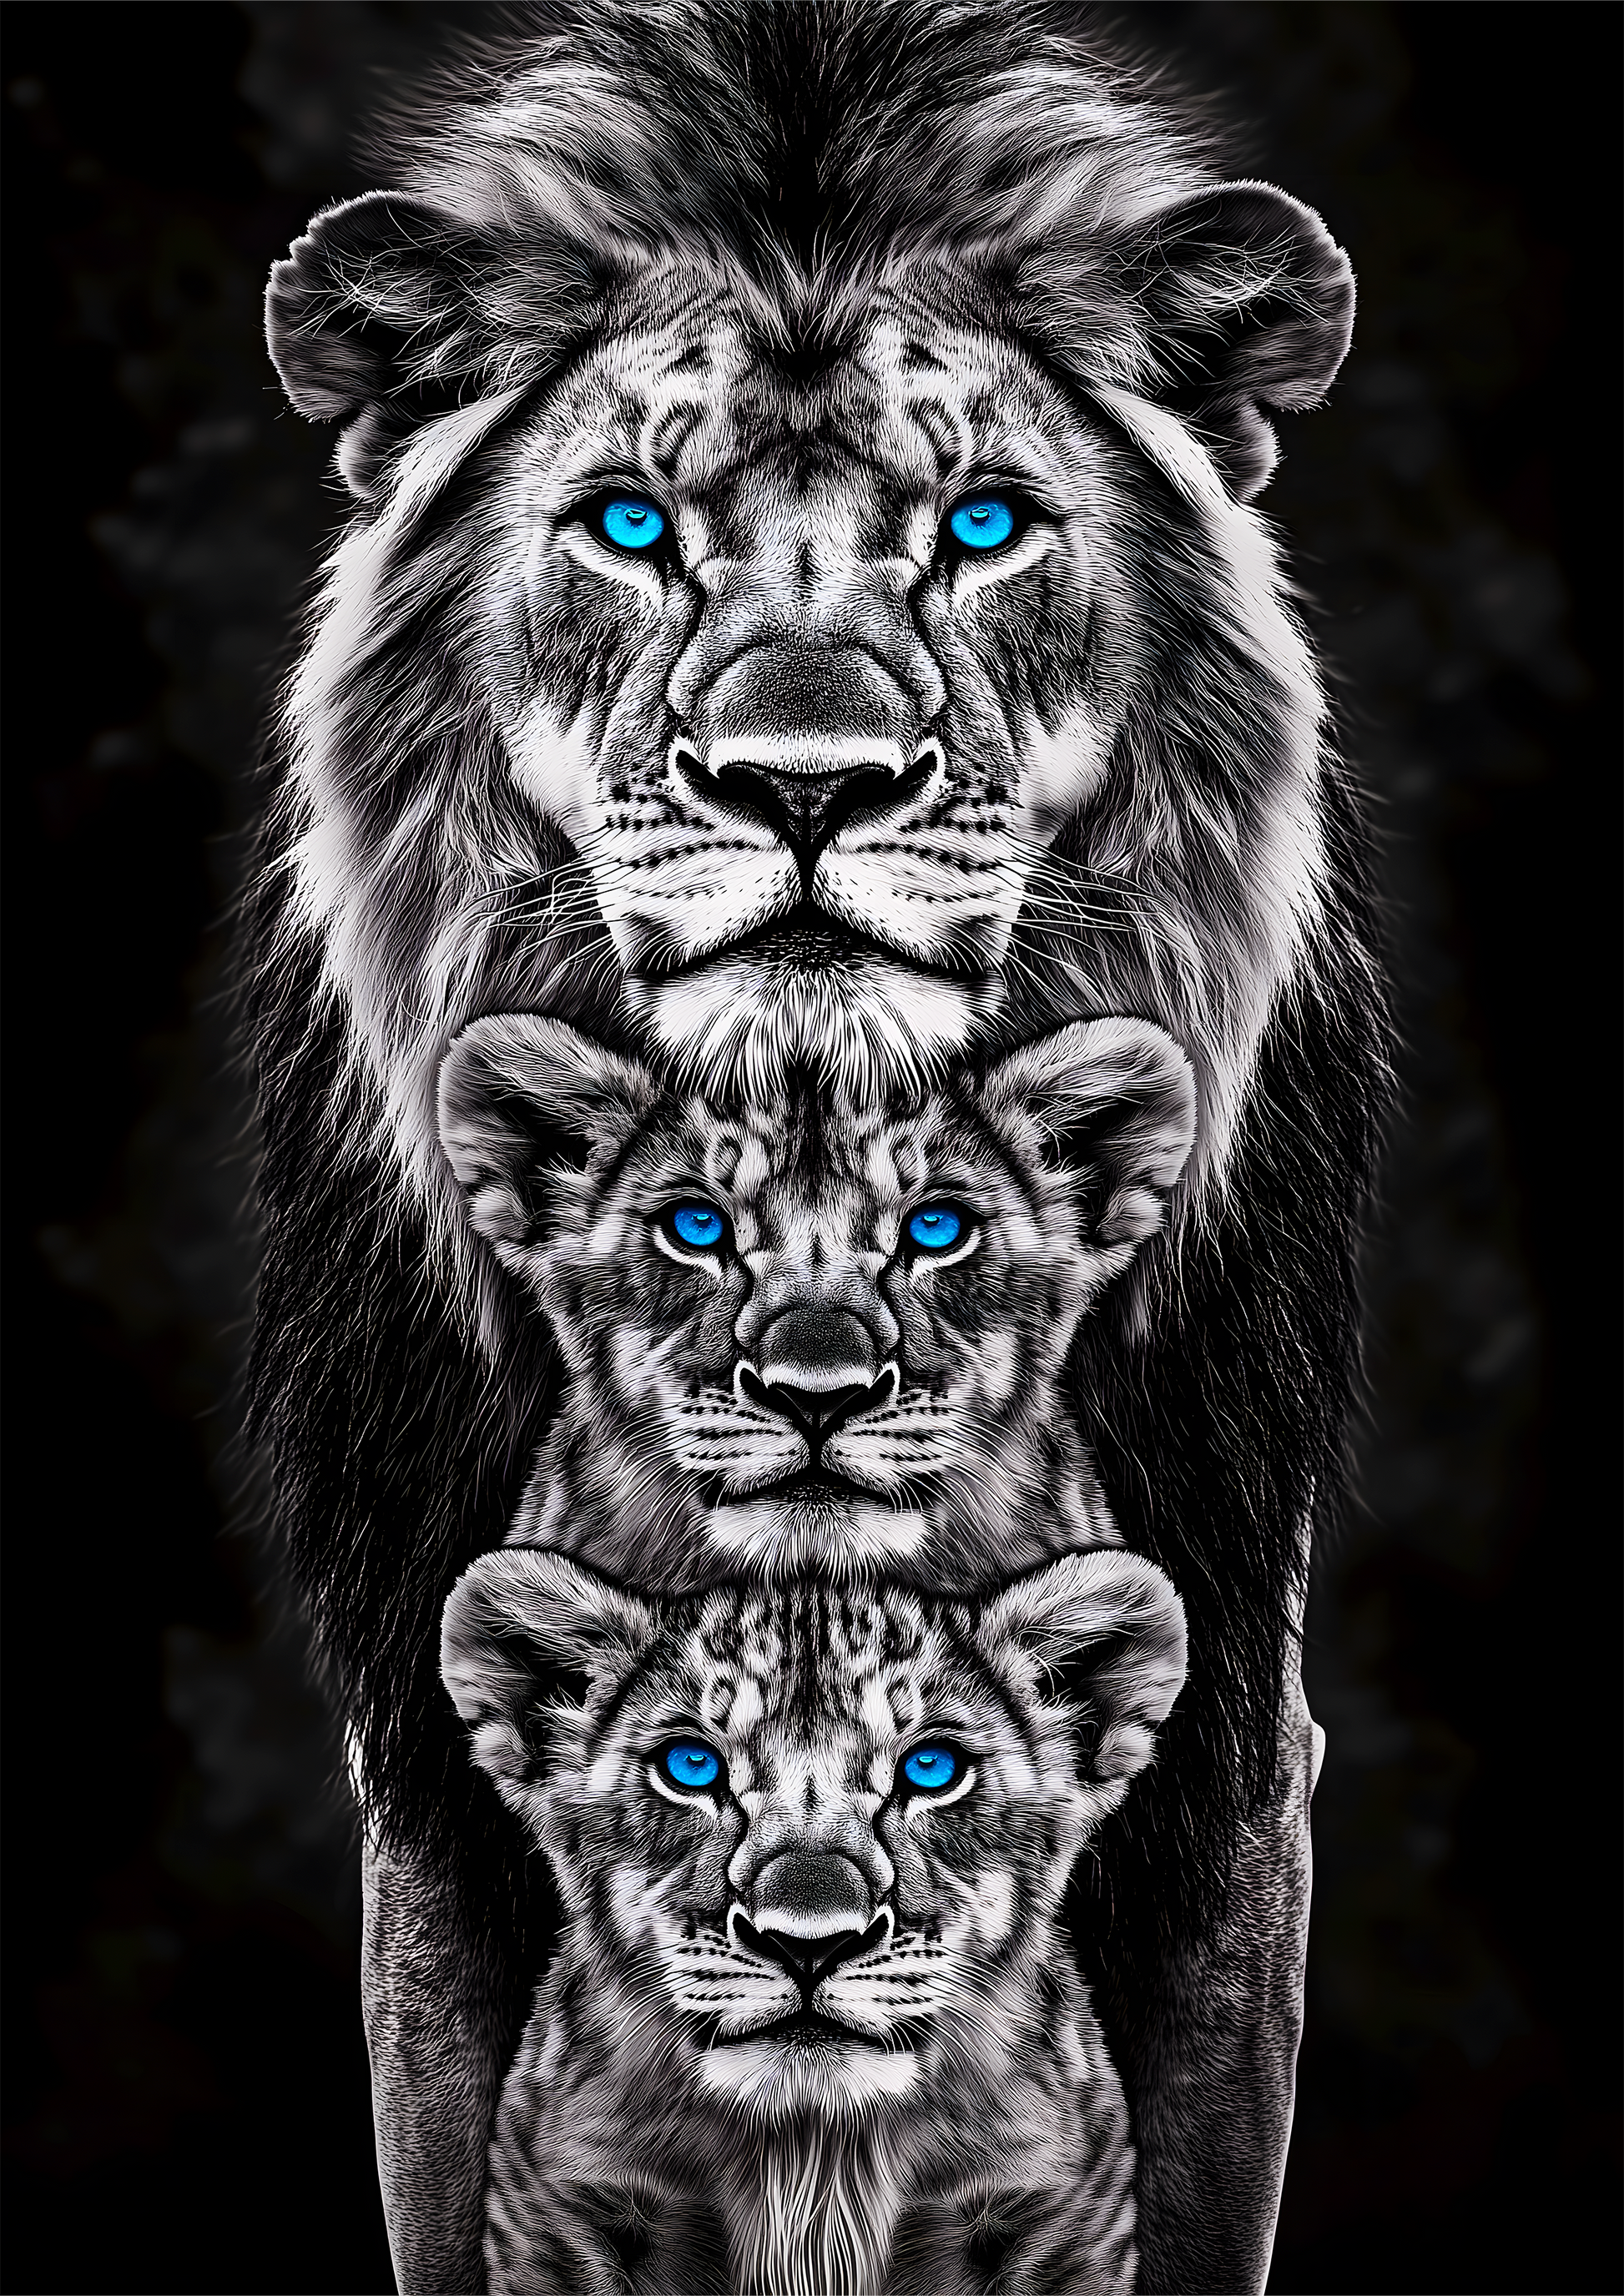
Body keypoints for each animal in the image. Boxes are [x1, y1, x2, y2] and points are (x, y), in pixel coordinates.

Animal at [441, 1544, 1189, 2295]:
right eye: (690, 1765)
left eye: (932, 1767)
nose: (808, 1944)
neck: (810, 2156)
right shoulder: (561, 2207)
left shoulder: (1061, 2212)